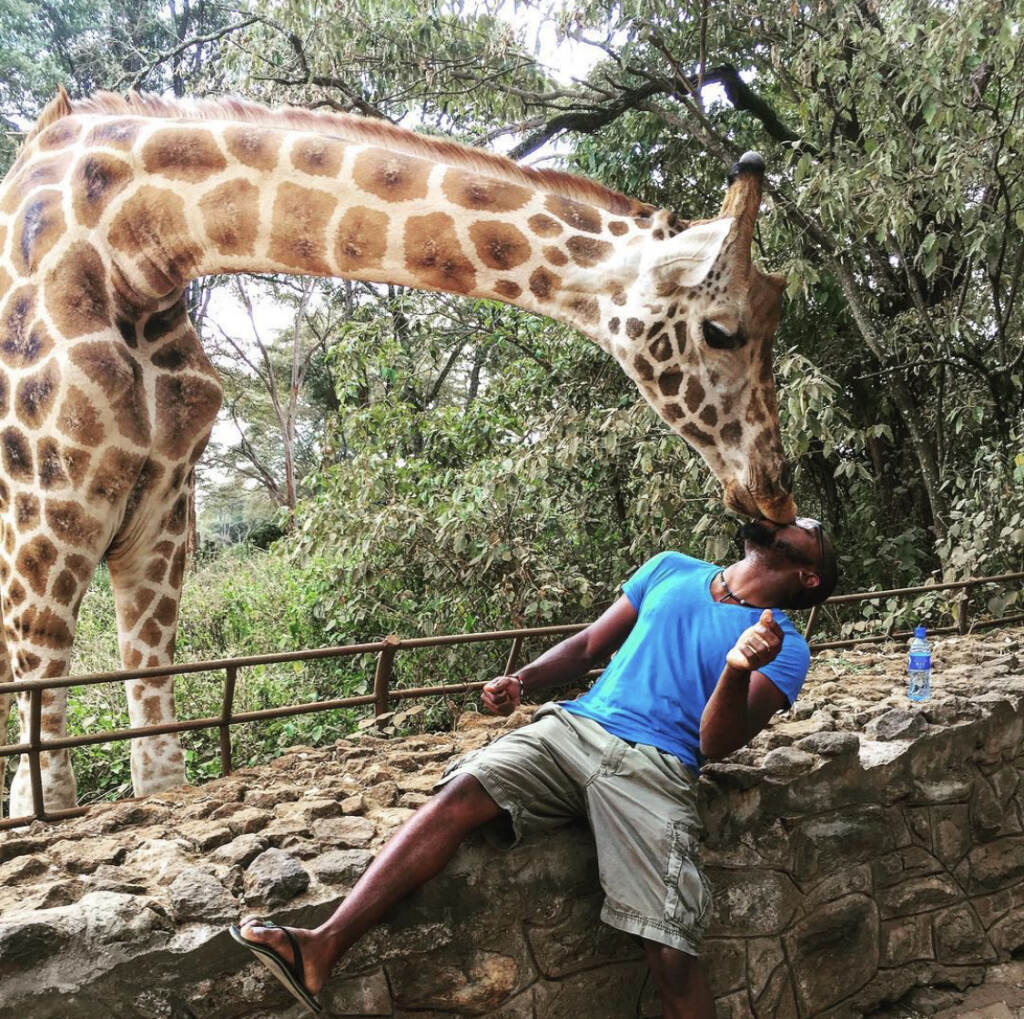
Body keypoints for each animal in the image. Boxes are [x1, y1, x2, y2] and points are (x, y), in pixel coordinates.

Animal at [0, 88, 796, 817]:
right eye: (721, 330)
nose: (773, 489)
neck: (134, 243)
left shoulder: (163, 506)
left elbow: (155, 738)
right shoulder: (46, 505)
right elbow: (43, 728)